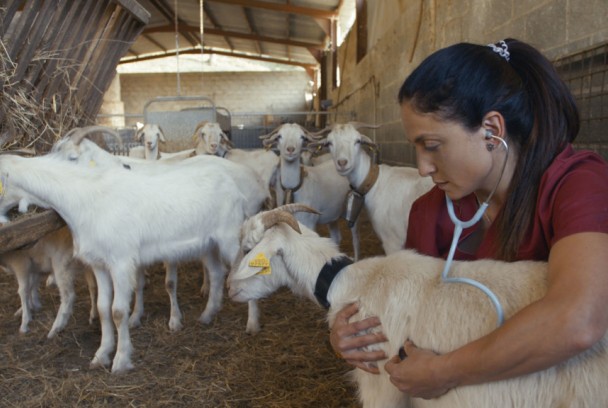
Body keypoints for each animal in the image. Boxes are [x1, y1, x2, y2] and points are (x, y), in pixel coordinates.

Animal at [258, 122, 358, 260]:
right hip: (333, 214)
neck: (293, 188)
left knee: (355, 239)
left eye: (302, 137)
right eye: (279, 136)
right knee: (336, 237)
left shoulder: (310, 223)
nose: (290, 149)